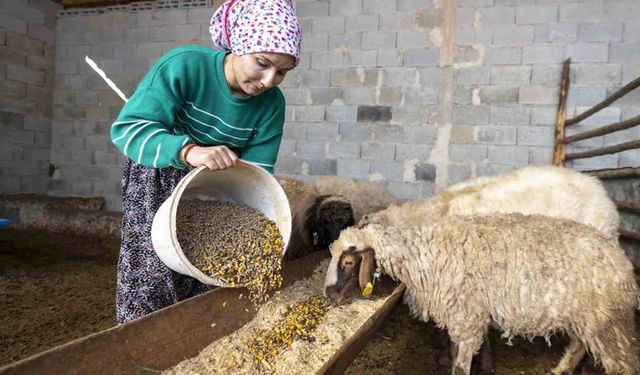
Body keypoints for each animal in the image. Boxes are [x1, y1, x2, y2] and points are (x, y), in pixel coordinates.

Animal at [324, 214, 640, 375]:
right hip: (586, 316)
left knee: (621, 362)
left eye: (348, 262)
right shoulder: (467, 314)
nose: (327, 294)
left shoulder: (466, 316)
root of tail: (619, 257)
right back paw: (560, 369)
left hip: (606, 320)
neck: (422, 251)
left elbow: (462, 363)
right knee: (578, 345)